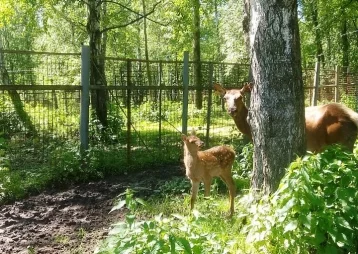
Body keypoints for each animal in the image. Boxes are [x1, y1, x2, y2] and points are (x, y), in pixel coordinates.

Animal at [214, 82, 358, 152]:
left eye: (240, 97)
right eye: (225, 98)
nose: (232, 110)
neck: (250, 131)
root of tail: (352, 117)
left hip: (342, 141)